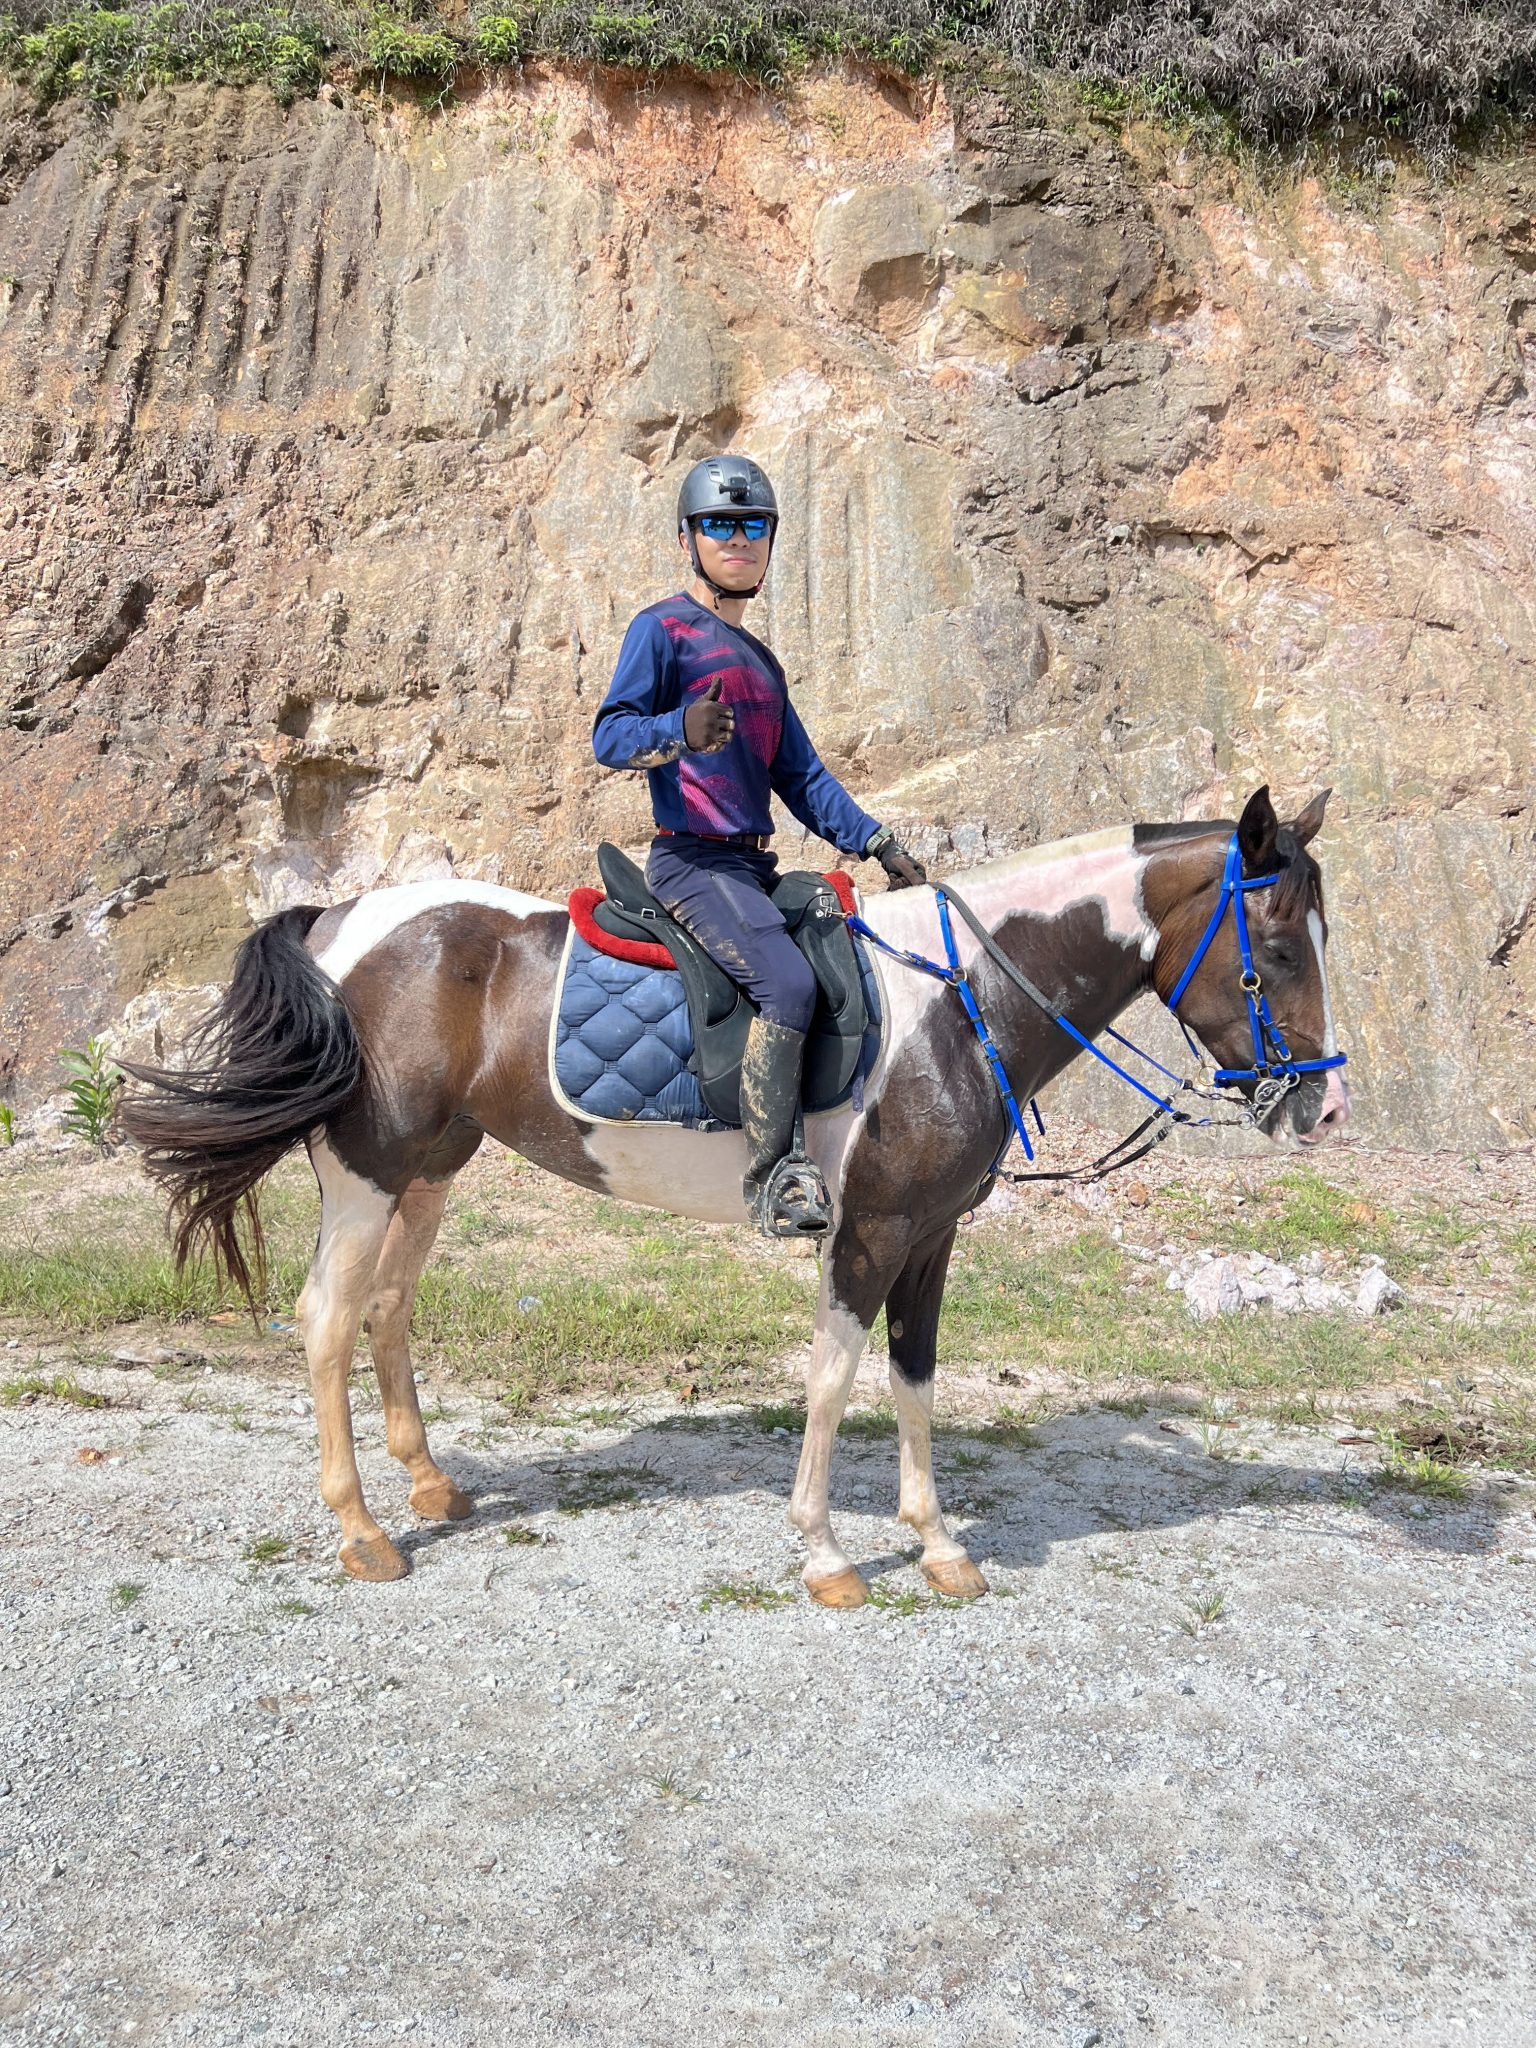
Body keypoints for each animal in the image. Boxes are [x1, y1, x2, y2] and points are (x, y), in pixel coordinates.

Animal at [121, 786, 1350, 1604]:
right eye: (1280, 946)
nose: (1324, 1109)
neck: (957, 1002)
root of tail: (338, 920)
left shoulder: (932, 1238)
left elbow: (913, 1379)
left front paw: (938, 1543)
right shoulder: (868, 1233)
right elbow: (832, 1380)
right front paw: (825, 1550)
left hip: (430, 1172)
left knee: (390, 1310)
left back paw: (429, 1484)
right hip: (367, 1175)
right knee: (328, 1319)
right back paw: (362, 1529)